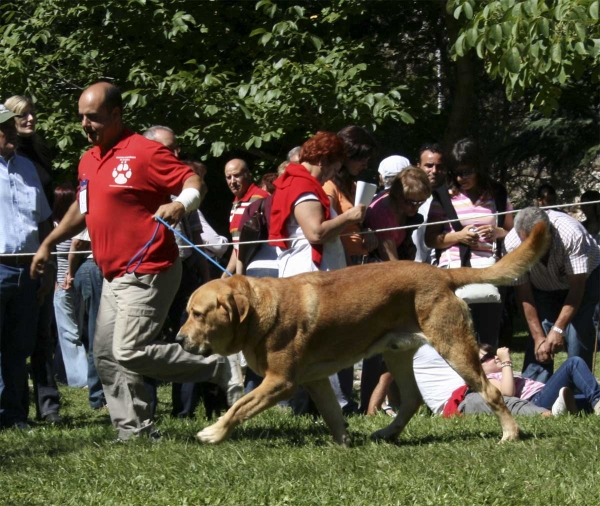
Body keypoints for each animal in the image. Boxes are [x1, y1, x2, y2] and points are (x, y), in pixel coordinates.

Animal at [175, 223, 548, 444]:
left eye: (197, 314)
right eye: (187, 312)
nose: (179, 339)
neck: (259, 310)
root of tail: (443, 275)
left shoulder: (281, 381)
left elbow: (240, 406)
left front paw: (212, 432)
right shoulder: (315, 380)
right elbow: (332, 413)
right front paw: (343, 443)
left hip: (455, 349)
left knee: (491, 392)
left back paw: (510, 435)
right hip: (396, 355)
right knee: (410, 400)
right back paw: (387, 432)